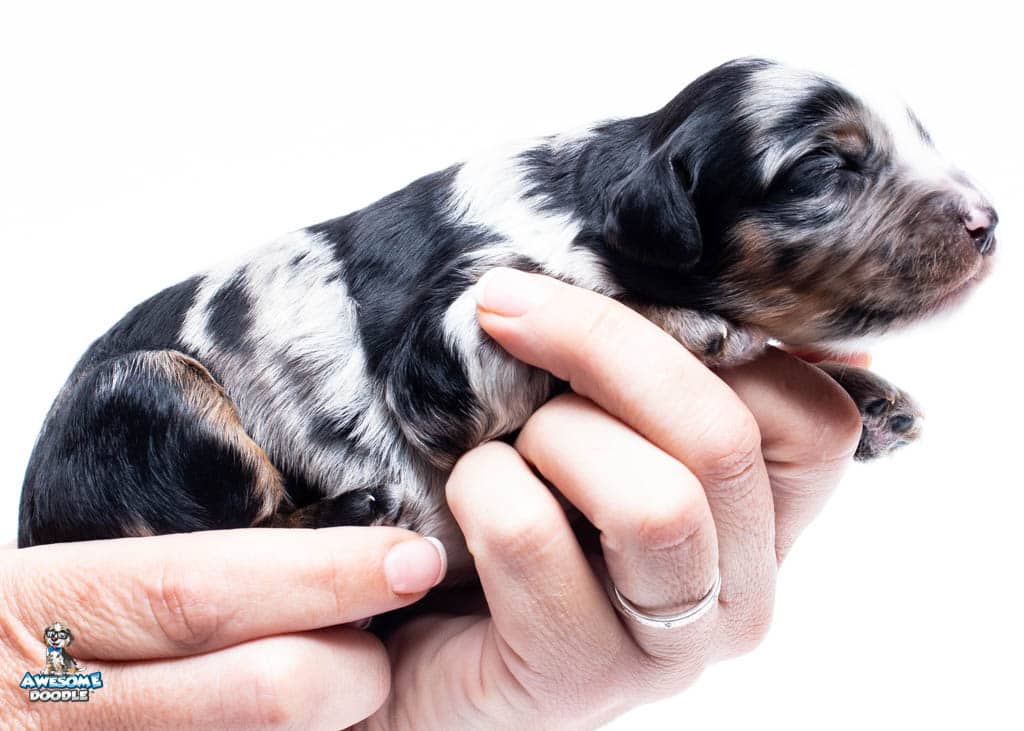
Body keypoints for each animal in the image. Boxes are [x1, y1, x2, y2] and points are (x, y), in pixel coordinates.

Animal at [19, 59, 996, 582]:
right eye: (825, 167)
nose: (990, 222)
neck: (595, 199)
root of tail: (31, 526)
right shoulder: (441, 357)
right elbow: (599, 302)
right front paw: (693, 323)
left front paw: (865, 397)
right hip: (151, 388)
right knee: (224, 528)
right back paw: (350, 509)